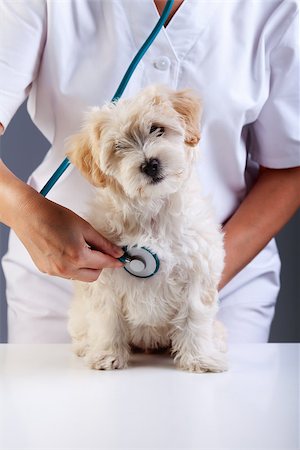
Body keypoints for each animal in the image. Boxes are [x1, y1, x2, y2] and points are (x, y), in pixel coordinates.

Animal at [65, 84, 227, 372]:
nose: (150, 164)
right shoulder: (106, 280)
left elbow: (195, 317)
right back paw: (86, 346)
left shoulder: (198, 272)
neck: (153, 211)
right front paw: (107, 355)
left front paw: (200, 358)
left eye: (157, 128)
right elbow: (107, 318)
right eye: (119, 146)